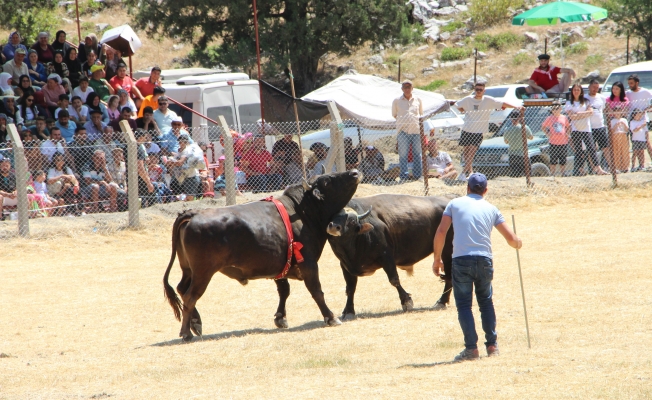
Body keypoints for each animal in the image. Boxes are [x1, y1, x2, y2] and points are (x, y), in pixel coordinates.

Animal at [160, 169, 360, 340]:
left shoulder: (282, 263)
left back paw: (196, 324)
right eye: (327, 181)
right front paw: (331, 317)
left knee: (182, 289)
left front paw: (280, 318)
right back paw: (186, 332)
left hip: (188, 269)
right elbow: (316, 290)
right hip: (203, 272)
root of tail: (193, 213)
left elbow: (284, 290)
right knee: (190, 296)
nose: (355, 172)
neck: (302, 212)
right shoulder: (308, 263)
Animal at [326, 194, 454, 318]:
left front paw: (406, 302)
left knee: (449, 275)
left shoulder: (386, 256)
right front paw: (348, 311)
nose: (333, 227)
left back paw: (441, 301)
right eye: (332, 217)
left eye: (352, 220)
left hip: (448, 250)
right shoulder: (345, 265)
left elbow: (394, 279)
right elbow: (350, 288)